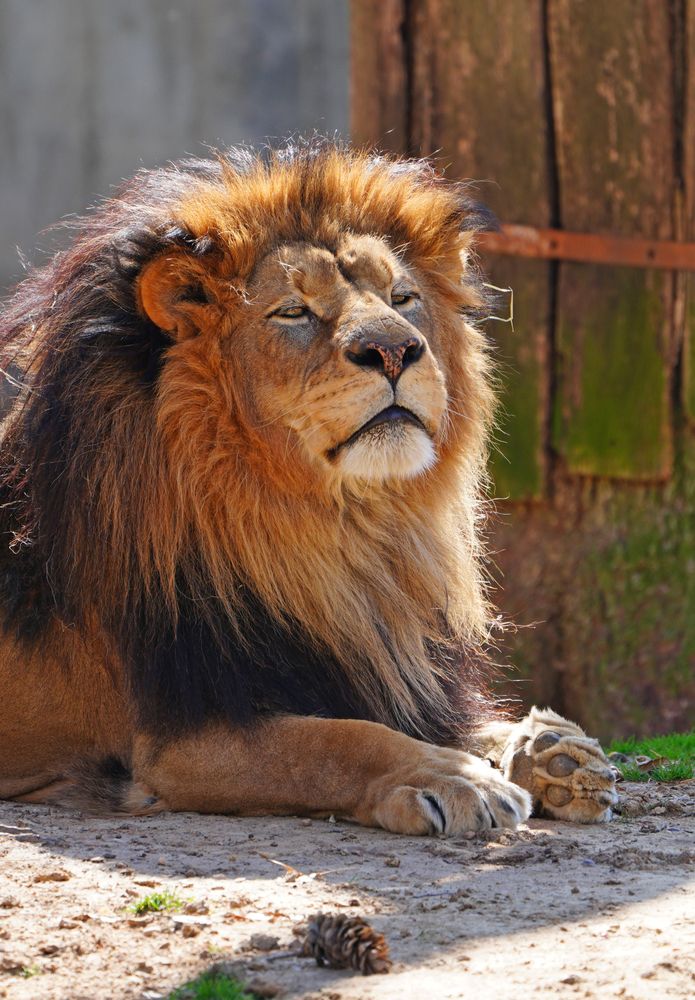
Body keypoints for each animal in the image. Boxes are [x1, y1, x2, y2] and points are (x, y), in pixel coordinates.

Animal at [0, 141, 617, 834]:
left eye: (403, 297)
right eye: (294, 311)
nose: (396, 349)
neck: (335, 533)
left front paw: (553, 754)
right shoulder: (181, 739)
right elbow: (339, 741)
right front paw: (454, 777)